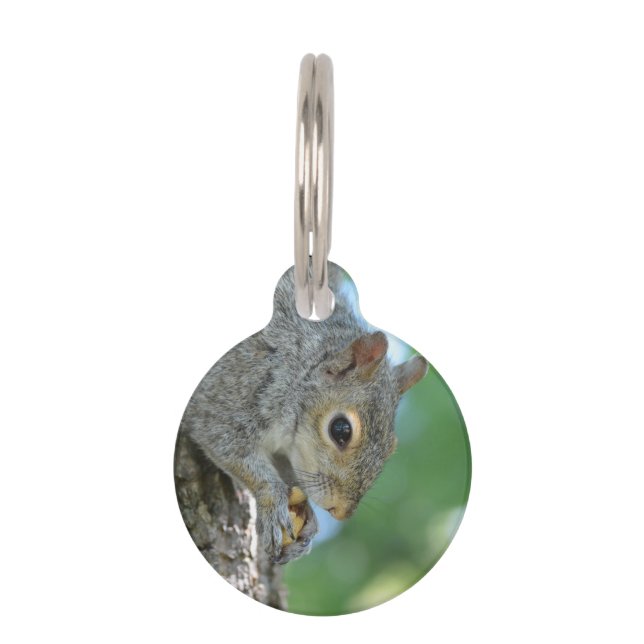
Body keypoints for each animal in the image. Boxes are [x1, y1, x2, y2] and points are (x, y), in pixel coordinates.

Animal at [178, 262, 428, 564]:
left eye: (391, 448)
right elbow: (229, 448)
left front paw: (307, 518)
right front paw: (272, 502)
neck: (296, 365)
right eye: (341, 430)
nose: (341, 512)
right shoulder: (228, 395)